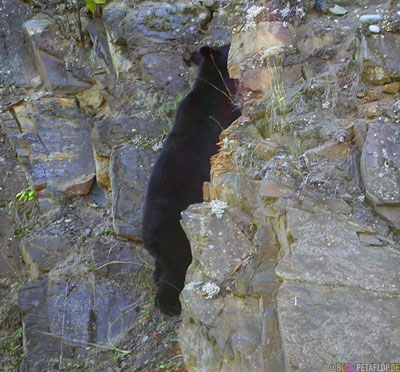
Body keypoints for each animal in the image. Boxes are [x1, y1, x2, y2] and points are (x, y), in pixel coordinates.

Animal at [141, 45, 239, 316]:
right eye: (227, 45)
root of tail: (149, 239)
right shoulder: (221, 105)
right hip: (177, 238)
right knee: (178, 269)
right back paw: (171, 305)